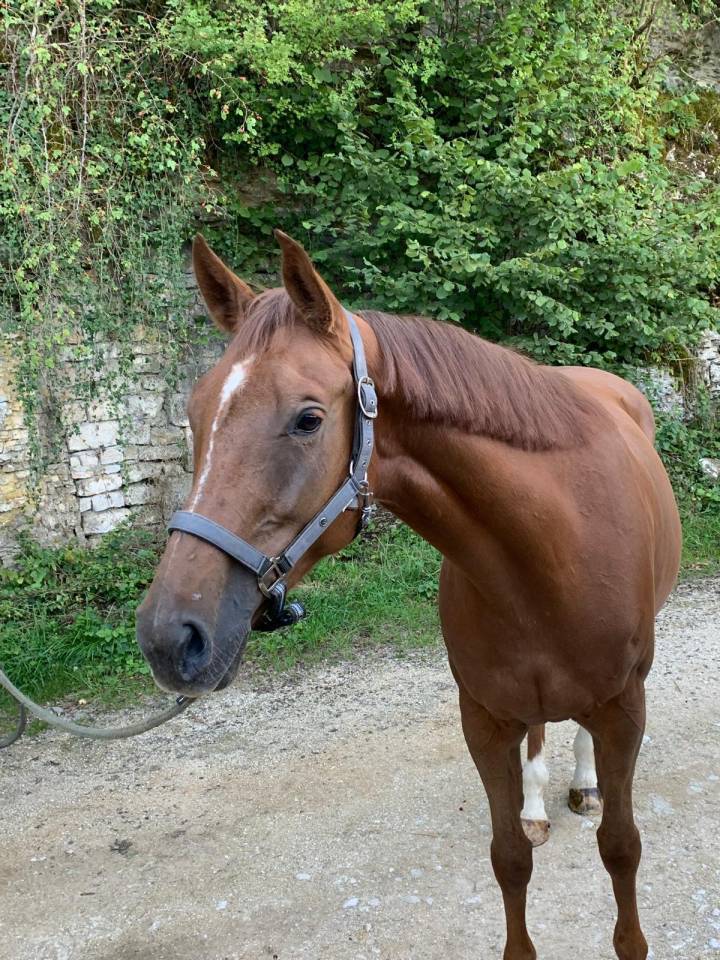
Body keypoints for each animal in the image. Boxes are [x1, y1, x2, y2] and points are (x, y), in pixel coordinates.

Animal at [137, 231, 682, 960]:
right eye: (195, 415)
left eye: (307, 419)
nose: (169, 638)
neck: (550, 552)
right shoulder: (483, 721)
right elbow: (509, 857)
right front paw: (524, 826)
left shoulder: (625, 713)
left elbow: (621, 849)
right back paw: (538, 804)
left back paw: (583, 784)